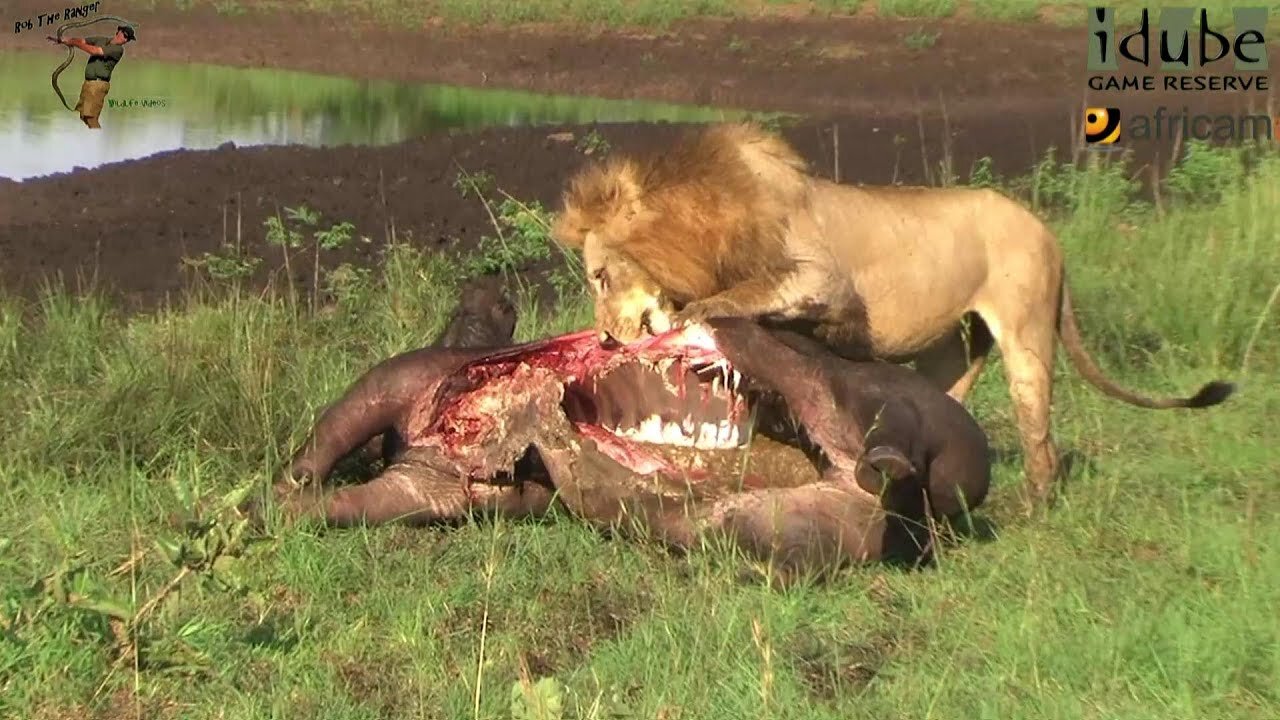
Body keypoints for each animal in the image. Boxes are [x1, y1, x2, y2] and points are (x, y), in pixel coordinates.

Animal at [547, 121, 1228, 504]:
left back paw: (1034, 506)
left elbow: (733, 299)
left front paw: (695, 317)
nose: (604, 339)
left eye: (602, 275)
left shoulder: (821, 278)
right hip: (955, 351)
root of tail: (1048, 231)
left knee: (1040, 438)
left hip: (1027, 334)